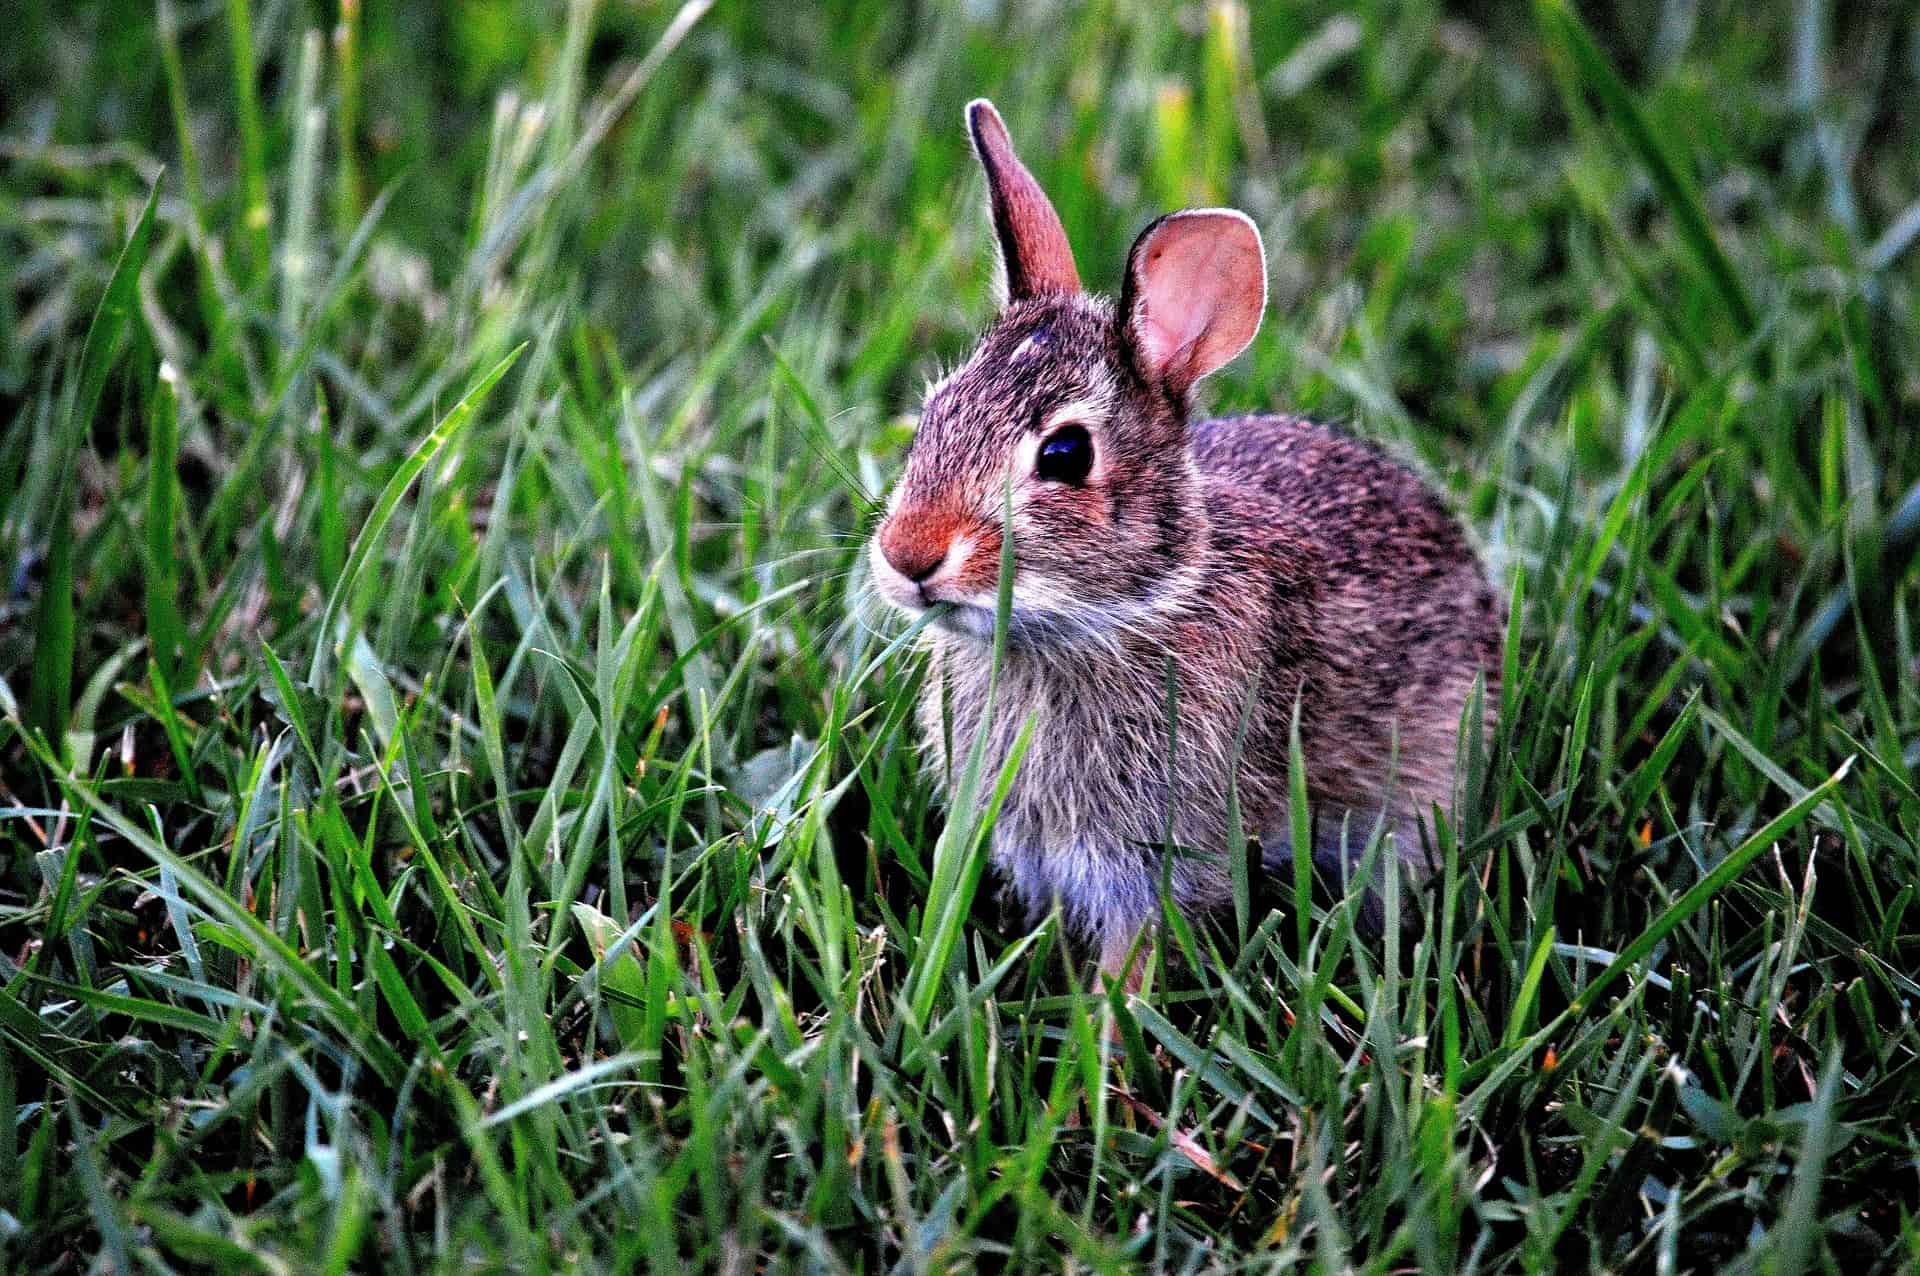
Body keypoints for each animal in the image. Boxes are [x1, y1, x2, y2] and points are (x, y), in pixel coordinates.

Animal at [864, 102, 1505, 982]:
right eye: (932, 413)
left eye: (1065, 454)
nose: (907, 556)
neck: (1129, 610)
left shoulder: (1159, 858)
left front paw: (1108, 1016)